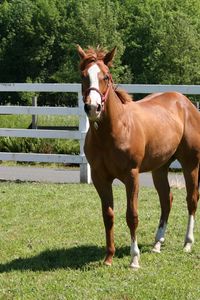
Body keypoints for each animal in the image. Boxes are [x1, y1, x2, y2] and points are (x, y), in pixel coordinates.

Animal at [77, 45, 200, 270]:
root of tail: (185, 103)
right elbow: (108, 215)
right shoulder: (100, 178)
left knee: (192, 199)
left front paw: (134, 259)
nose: (93, 108)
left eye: (106, 76)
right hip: (160, 169)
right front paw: (108, 257)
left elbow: (131, 216)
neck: (114, 129)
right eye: (83, 76)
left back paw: (187, 243)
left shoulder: (131, 176)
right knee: (166, 200)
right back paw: (157, 243)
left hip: (191, 164)